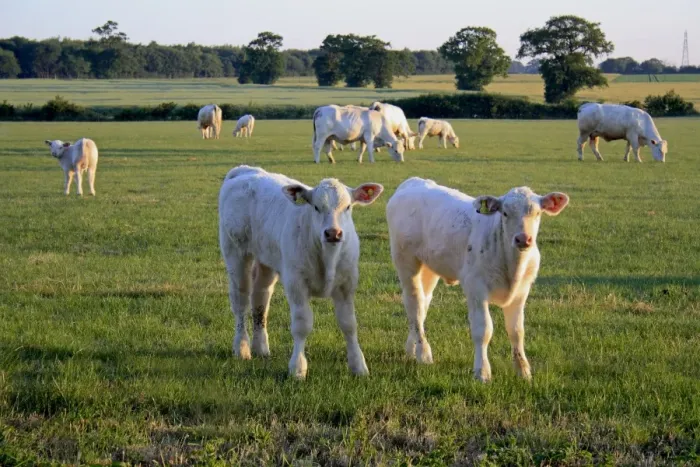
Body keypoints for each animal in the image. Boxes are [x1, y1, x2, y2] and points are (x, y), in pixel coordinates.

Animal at [219, 165, 384, 379]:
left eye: (348, 207)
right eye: (316, 207)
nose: (333, 233)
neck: (328, 257)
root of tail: (244, 170)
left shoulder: (347, 284)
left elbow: (349, 324)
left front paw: (358, 365)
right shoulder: (296, 283)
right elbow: (301, 324)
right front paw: (298, 367)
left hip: (266, 261)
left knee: (260, 298)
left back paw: (261, 347)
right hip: (236, 253)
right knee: (240, 301)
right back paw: (242, 347)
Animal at [386, 177, 569, 382]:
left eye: (537, 213)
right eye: (505, 213)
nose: (523, 239)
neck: (511, 265)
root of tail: (413, 181)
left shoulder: (522, 292)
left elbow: (516, 331)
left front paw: (523, 371)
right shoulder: (476, 288)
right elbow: (483, 330)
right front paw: (482, 372)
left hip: (429, 268)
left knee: (423, 302)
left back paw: (412, 349)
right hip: (406, 261)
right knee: (414, 303)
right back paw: (423, 353)